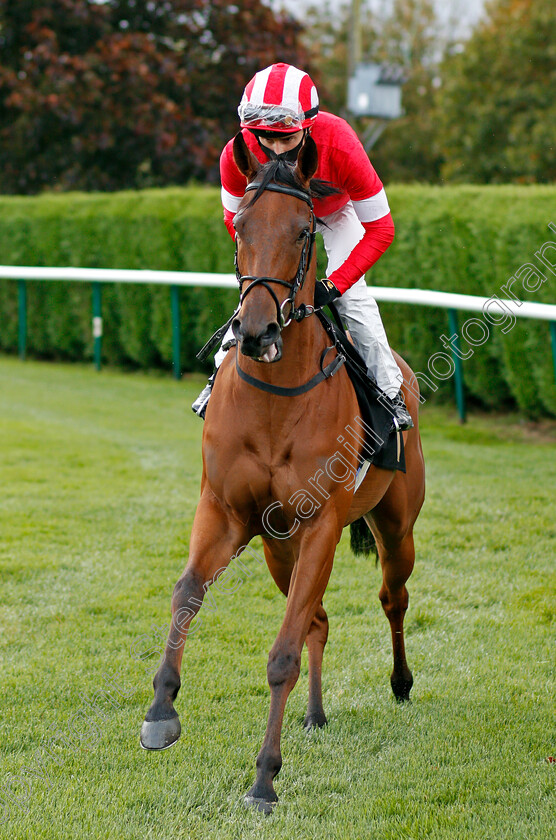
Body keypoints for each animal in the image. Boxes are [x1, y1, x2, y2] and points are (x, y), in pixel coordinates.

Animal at [140, 135, 426, 812]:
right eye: (240, 226)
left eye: (303, 232)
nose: (256, 332)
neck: (274, 399)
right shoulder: (226, 510)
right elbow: (186, 594)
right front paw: (161, 711)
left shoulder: (321, 523)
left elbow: (282, 654)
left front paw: (265, 778)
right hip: (277, 548)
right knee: (318, 617)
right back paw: (316, 715)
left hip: (394, 526)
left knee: (392, 597)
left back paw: (401, 682)